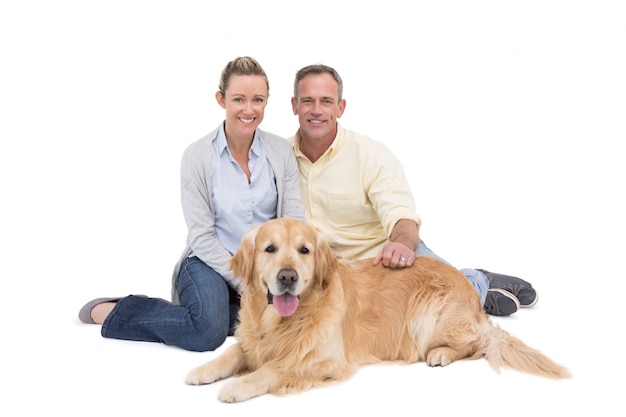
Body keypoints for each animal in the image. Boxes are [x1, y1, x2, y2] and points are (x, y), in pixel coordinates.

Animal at [183, 216, 568, 402]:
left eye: (304, 250)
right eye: (269, 249)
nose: (288, 276)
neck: (281, 320)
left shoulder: (324, 359)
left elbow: (273, 369)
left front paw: (237, 387)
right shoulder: (254, 340)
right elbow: (234, 353)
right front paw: (203, 370)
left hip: (429, 313)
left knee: (478, 343)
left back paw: (441, 353)